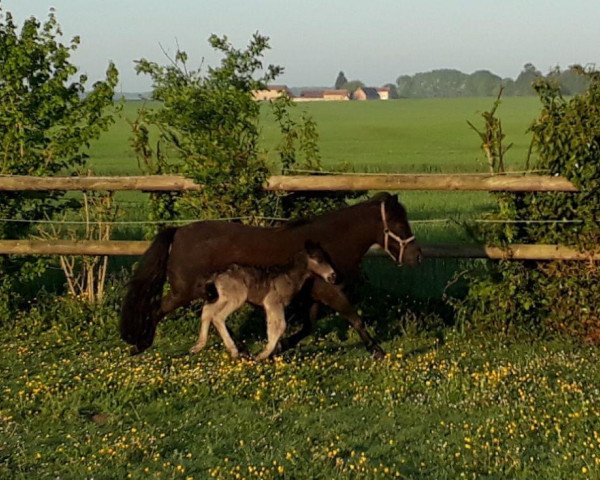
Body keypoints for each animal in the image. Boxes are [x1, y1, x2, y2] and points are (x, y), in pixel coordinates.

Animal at [189, 242, 338, 358]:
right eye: (319, 259)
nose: (333, 276)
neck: (289, 277)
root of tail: (216, 276)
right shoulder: (274, 302)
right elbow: (281, 326)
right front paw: (262, 355)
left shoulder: (270, 306)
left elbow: (271, 326)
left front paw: (273, 351)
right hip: (236, 298)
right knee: (218, 316)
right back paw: (234, 351)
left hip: (223, 297)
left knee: (207, 310)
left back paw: (197, 347)